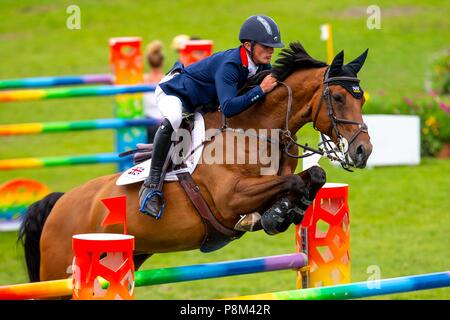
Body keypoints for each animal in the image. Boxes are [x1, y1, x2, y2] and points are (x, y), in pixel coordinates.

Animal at [18, 42, 372, 290]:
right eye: (338, 98)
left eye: (362, 98)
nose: (363, 150)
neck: (254, 130)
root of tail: (58, 203)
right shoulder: (231, 197)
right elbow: (295, 182)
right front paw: (274, 215)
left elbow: (313, 175)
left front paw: (282, 213)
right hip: (60, 267)